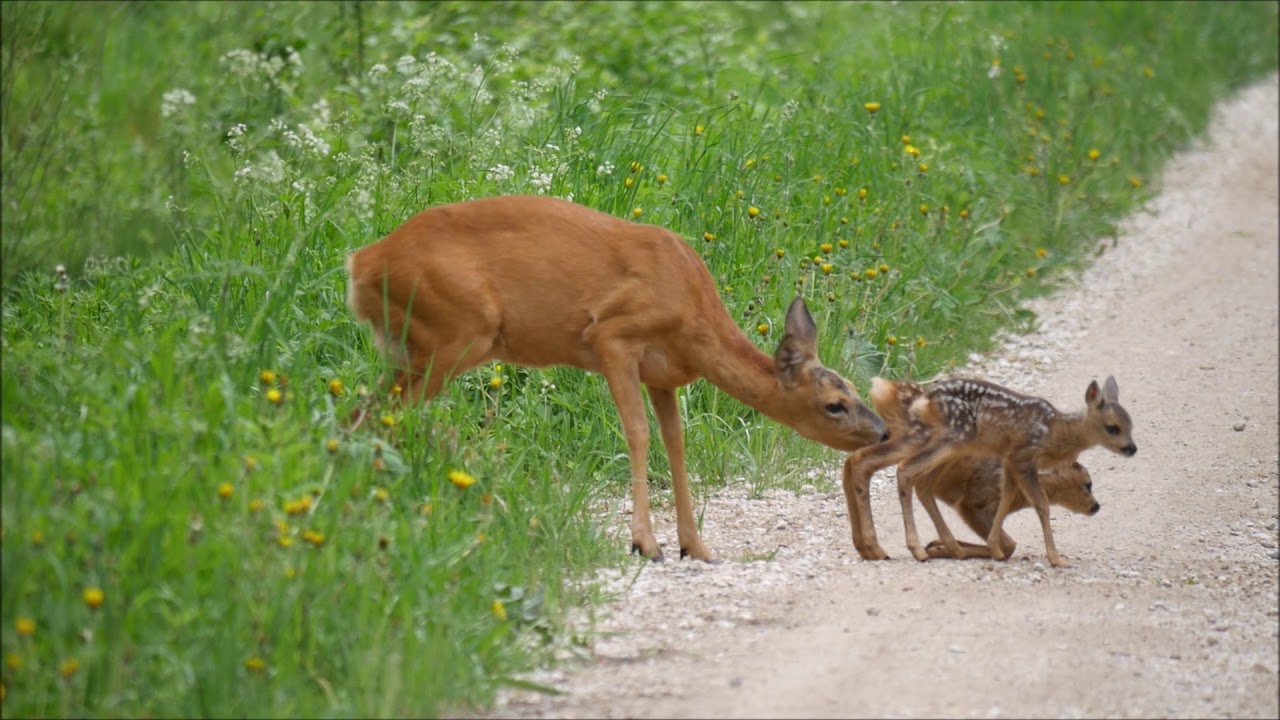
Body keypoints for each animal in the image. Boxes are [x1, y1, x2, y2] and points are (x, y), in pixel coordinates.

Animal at [350, 194, 890, 561]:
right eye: (834, 404)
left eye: (855, 388)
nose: (883, 431)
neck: (693, 315)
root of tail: (359, 265)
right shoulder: (613, 337)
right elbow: (637, 433)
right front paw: (645, 542)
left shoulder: (665, 376)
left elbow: (676, 443)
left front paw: (695, 546)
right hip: (451, 335)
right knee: (374, 414)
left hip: (423, 347)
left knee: (366, 412)